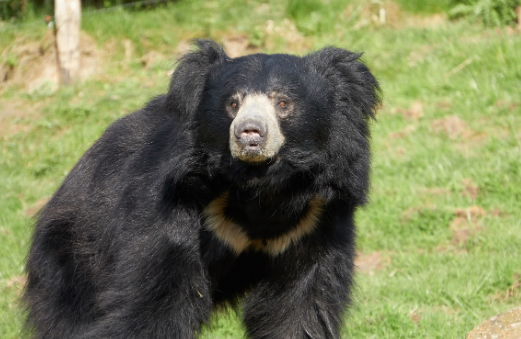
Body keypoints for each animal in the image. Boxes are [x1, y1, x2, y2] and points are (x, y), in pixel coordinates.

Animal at [24, 40, 380, 339]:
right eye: (233, 104)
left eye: (282, 103)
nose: (249, 133)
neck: (260, 187)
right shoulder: (175, 207)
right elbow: (152, 303)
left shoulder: (314, 222)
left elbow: (299, 308)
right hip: (73, 259)